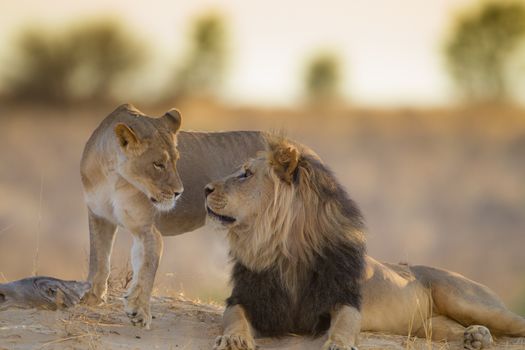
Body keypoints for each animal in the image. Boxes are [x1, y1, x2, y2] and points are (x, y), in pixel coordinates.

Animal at [82, 104, 266, 328]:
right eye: (158, 164)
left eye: (176, 161)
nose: (179, 192)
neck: (113, 175)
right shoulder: (99, 216)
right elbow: (99, 258)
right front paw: (92, 298)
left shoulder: (147, 229)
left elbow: (147, 268)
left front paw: (139, 311)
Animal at [205, 137, 524, 350]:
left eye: (246, 174)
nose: (205, 188)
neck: (282, 249)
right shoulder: (245, 300)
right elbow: (235, 318)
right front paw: (234, 338)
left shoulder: (344, 299)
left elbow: (345, 323)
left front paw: (338, 344)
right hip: (431, 326)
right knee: (454, 330)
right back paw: (476, 337)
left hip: (466, 299)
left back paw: (480, 334)